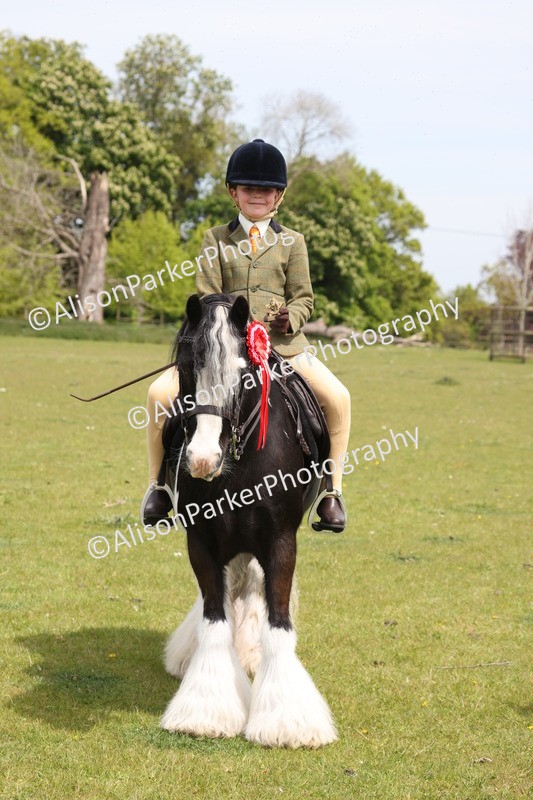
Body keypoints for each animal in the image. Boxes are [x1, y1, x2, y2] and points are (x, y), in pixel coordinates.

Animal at [158, 292, 337, 748]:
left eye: (244, 373)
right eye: (187, 366)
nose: (203, 459)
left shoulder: (280, 541)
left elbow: (277, 620)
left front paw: (288, 720)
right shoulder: (201, 542)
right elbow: (214, 618)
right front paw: (205, 709)